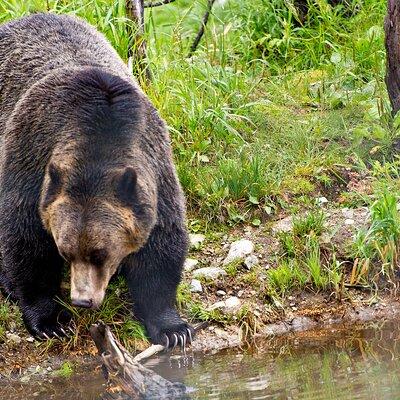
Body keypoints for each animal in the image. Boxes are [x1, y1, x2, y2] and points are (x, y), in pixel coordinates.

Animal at [0, 12, 194, 346]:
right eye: (65, 250)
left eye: (100, 253)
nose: (82, 300)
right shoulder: (31, 154)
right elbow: (25, 238)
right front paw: (50, 320)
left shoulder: (155, 166)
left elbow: (162, 244)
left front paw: (172, 329)